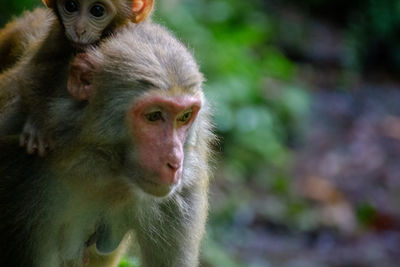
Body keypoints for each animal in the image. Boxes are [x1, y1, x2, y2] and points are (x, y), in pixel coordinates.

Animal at [13, 0, 154, 156]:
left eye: (97, 10)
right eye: (71, 6)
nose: (79, 30)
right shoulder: (57, 35)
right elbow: (32, 69)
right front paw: (37, 123)